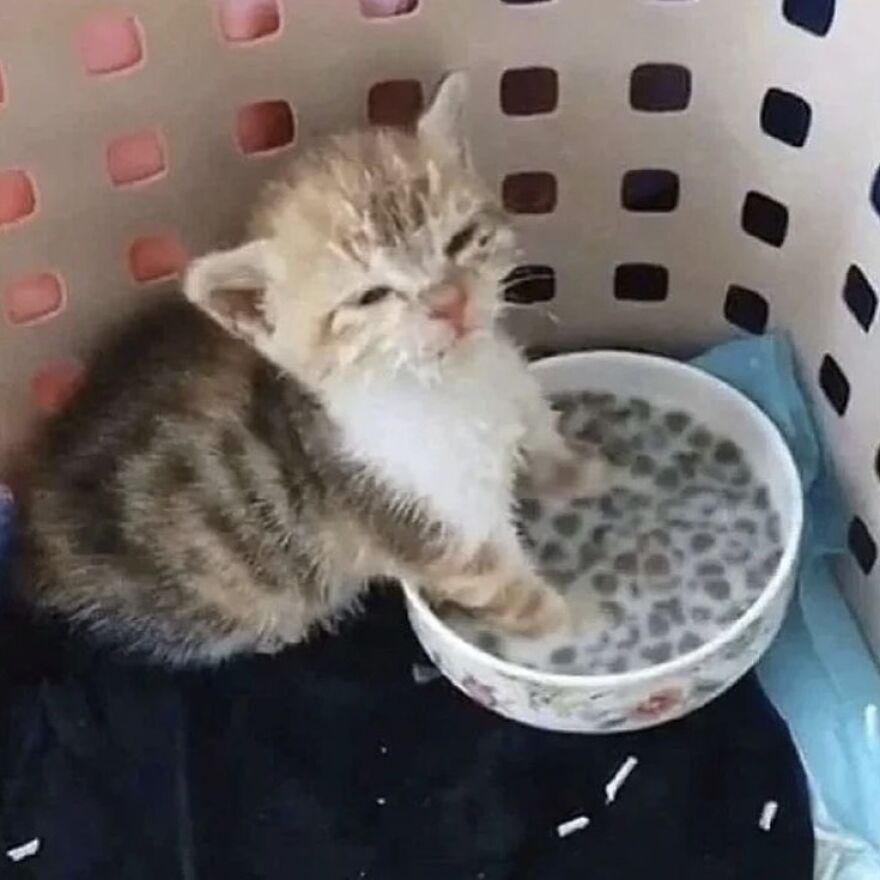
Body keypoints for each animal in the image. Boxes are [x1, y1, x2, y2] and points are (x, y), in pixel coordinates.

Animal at [15, 75, 604, 664]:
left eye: (461, 240)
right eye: (371, 296)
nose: (449, 301)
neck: (460, 384)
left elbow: (547, 449)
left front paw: (594, 471)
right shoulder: (425, 523)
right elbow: (516, 597)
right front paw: (585, 634)